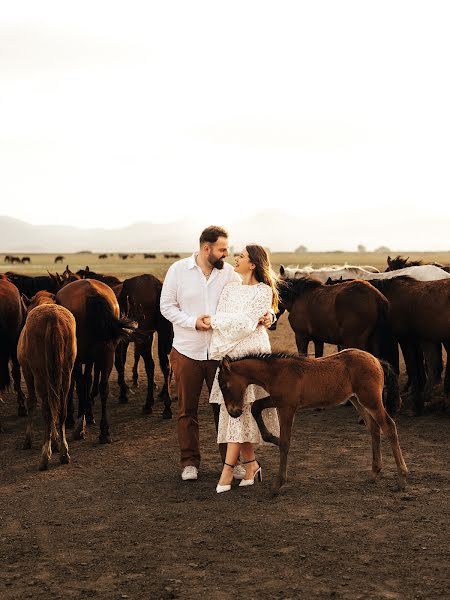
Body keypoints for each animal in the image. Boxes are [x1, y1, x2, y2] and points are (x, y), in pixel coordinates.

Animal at [17, 292, 75, 472]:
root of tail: (53, 318)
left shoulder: (27, 372)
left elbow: (31, 402)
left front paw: (28, 440)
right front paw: (56, 442)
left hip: (40, 376)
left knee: (47, 410)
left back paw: (44, 456)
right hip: (66, 374)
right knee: (62, 409)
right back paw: (64, 453)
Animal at [55, 278, 135, 442]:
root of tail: (93, 292)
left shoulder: (77, 360)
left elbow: (77, 384)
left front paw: (77, 416)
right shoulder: (91, 359)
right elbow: (89, 380)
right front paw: (89, 413)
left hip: (81, 358)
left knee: (80, 384)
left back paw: (81, 425)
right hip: (107, 354)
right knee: (104, 387)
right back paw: (104, 431)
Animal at [115, 276, 173, 420]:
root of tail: (158, 285)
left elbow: (120, 364)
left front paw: (123, 394)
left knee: (150, 365)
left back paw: (148, 404)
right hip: (160, 335)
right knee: (166, 366)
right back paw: (166, 406)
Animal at [218, 350, 408, 494]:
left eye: (225, 386)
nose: (233, 412)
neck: (277, 373)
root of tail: (376, 360)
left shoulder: (287, 407)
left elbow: (286, 443)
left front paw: (278, 484)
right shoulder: (278, 401)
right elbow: (256, 407)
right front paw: (272, 438)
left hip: (371, 400)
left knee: (389, 427)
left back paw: (401, 479)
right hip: (357, 400)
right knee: (374, 428)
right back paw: (374, 473)